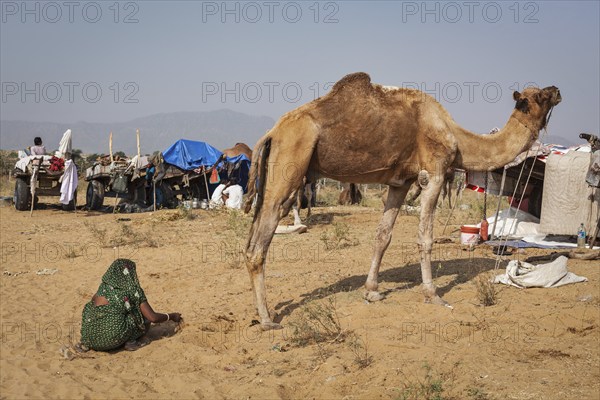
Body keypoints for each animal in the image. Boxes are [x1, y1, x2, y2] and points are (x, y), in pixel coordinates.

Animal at [241, 72, 560, 328]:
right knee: (260, 242)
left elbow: (383, 235)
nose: (557, 89)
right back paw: (267, 318)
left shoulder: (401, 182)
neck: (456, 137)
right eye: (540, 96)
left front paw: (372, 290)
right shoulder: (434, 173)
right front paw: (433, 295)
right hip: (290, 163)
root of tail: (272, 132)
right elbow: (425, 237)